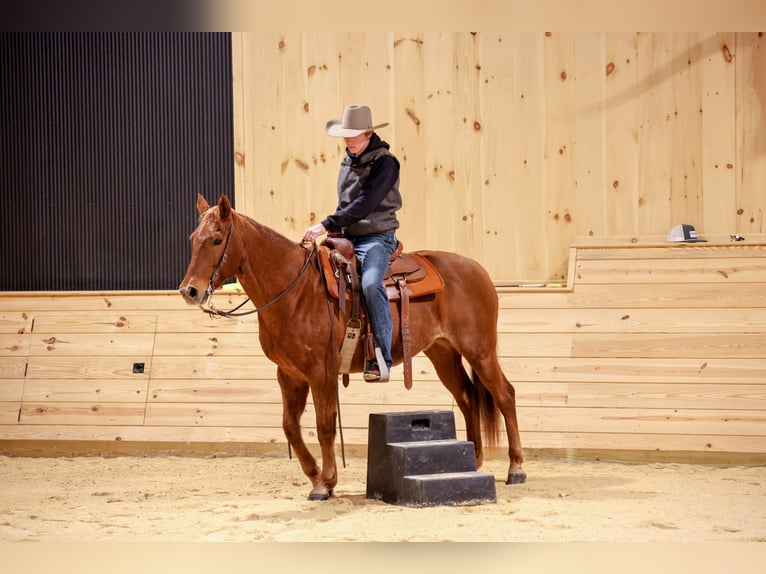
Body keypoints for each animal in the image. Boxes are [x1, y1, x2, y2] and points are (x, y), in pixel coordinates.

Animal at [179, 194, 526, 500]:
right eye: (193, 238)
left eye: (217, 239)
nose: (189, 291)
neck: (297, 290)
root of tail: (477, 270)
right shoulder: (289, 375)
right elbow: (290, 426)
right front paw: (316, 476)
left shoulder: (321, 373)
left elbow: (324, 426)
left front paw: (326, 482)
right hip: (443, 353)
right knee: (467, 398)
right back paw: (474, 461)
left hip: (479, 350)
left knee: (505, 395)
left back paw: (516, 468)